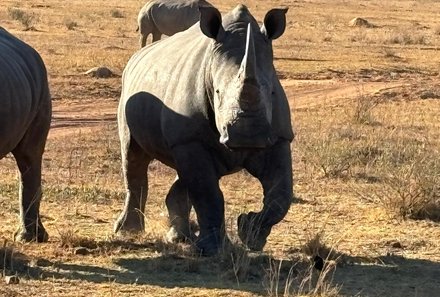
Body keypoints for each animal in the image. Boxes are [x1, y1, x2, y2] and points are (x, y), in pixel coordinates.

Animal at [117, 3, 296, 254]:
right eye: (218, 92)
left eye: (271, 92)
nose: (247, 136)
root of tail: (134, 60)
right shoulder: (189, 139)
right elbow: (208, 193)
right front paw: (212, 249)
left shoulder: (278, 137)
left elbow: (281, 194)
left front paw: (250, 234)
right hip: (129, 94)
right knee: (134, 157)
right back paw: (128, 231)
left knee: (184, 175)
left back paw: (180, 238)